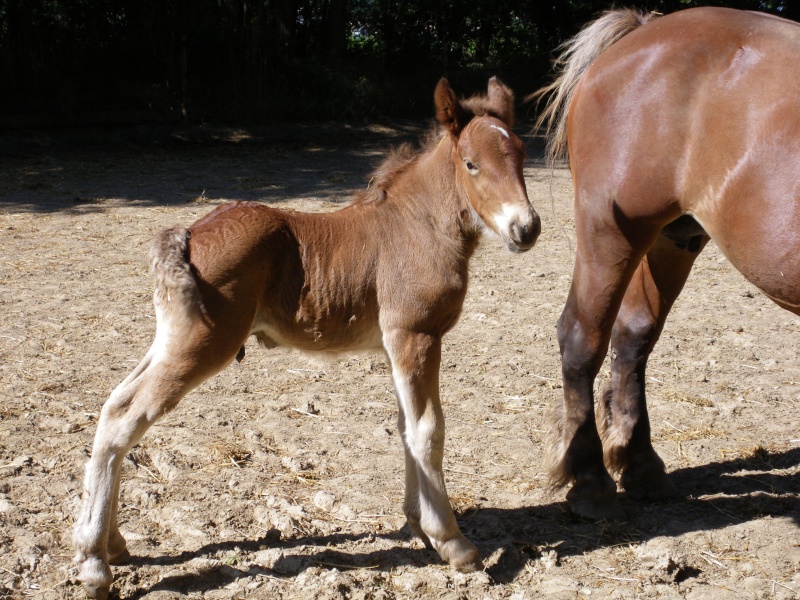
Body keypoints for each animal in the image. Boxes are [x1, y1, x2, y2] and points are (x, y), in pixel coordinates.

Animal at [75, 79, 540, 600]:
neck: (418, 225)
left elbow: (405, 427)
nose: (526, 228)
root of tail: (187, 234)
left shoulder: (396, 346)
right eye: (471, 163)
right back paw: (94, 563)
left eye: (522, 154)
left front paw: (417, 523)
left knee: (114, 403)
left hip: (172, 338)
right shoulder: (415, 336)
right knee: (124, 418)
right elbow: (428, 430)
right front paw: (452, 541)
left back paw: (111, 543)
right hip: (202, 346)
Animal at [536, 7, 800, 516]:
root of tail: (642, 30)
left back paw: (640, 466)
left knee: (632, 336)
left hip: (672, 238)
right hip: (612, 232)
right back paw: (590, 479)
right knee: (582, 337)